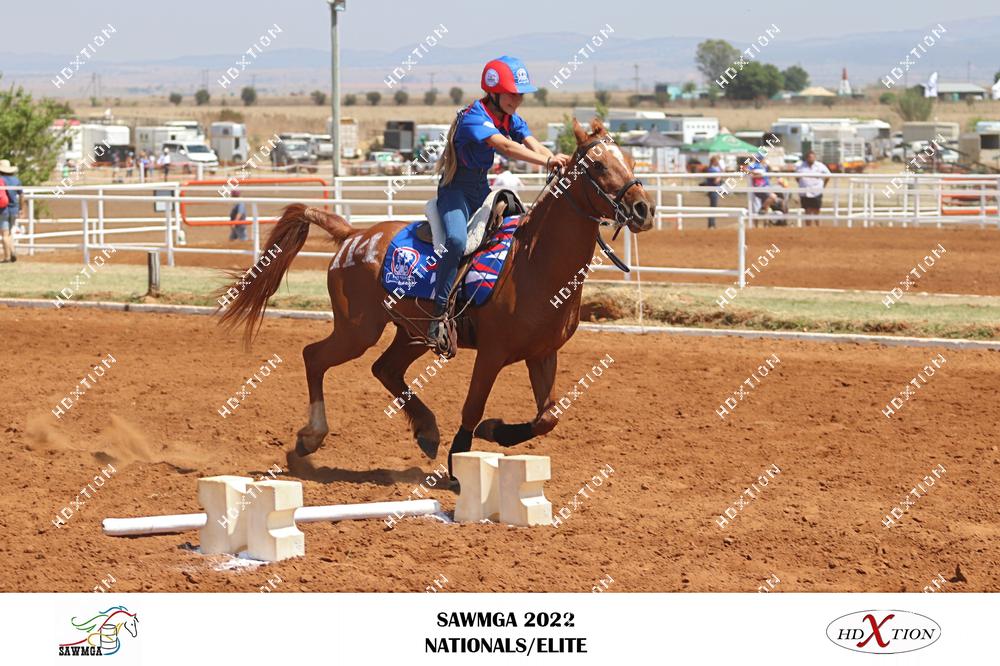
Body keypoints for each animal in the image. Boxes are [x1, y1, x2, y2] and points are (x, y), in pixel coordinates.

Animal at [218, 118, 654, 477]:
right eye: (597, 165)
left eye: (631, 160)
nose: (643, 208)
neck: (532, 261)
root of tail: (353, 235)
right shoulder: (493, 353)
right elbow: (473, 406)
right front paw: (462, 460)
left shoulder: (543, 354)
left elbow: (548, 417)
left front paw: (496, 431)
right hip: (357, 330)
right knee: (314, 357)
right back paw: (311, 437)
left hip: (410, 333)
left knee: (384, 369)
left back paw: (426, 431)